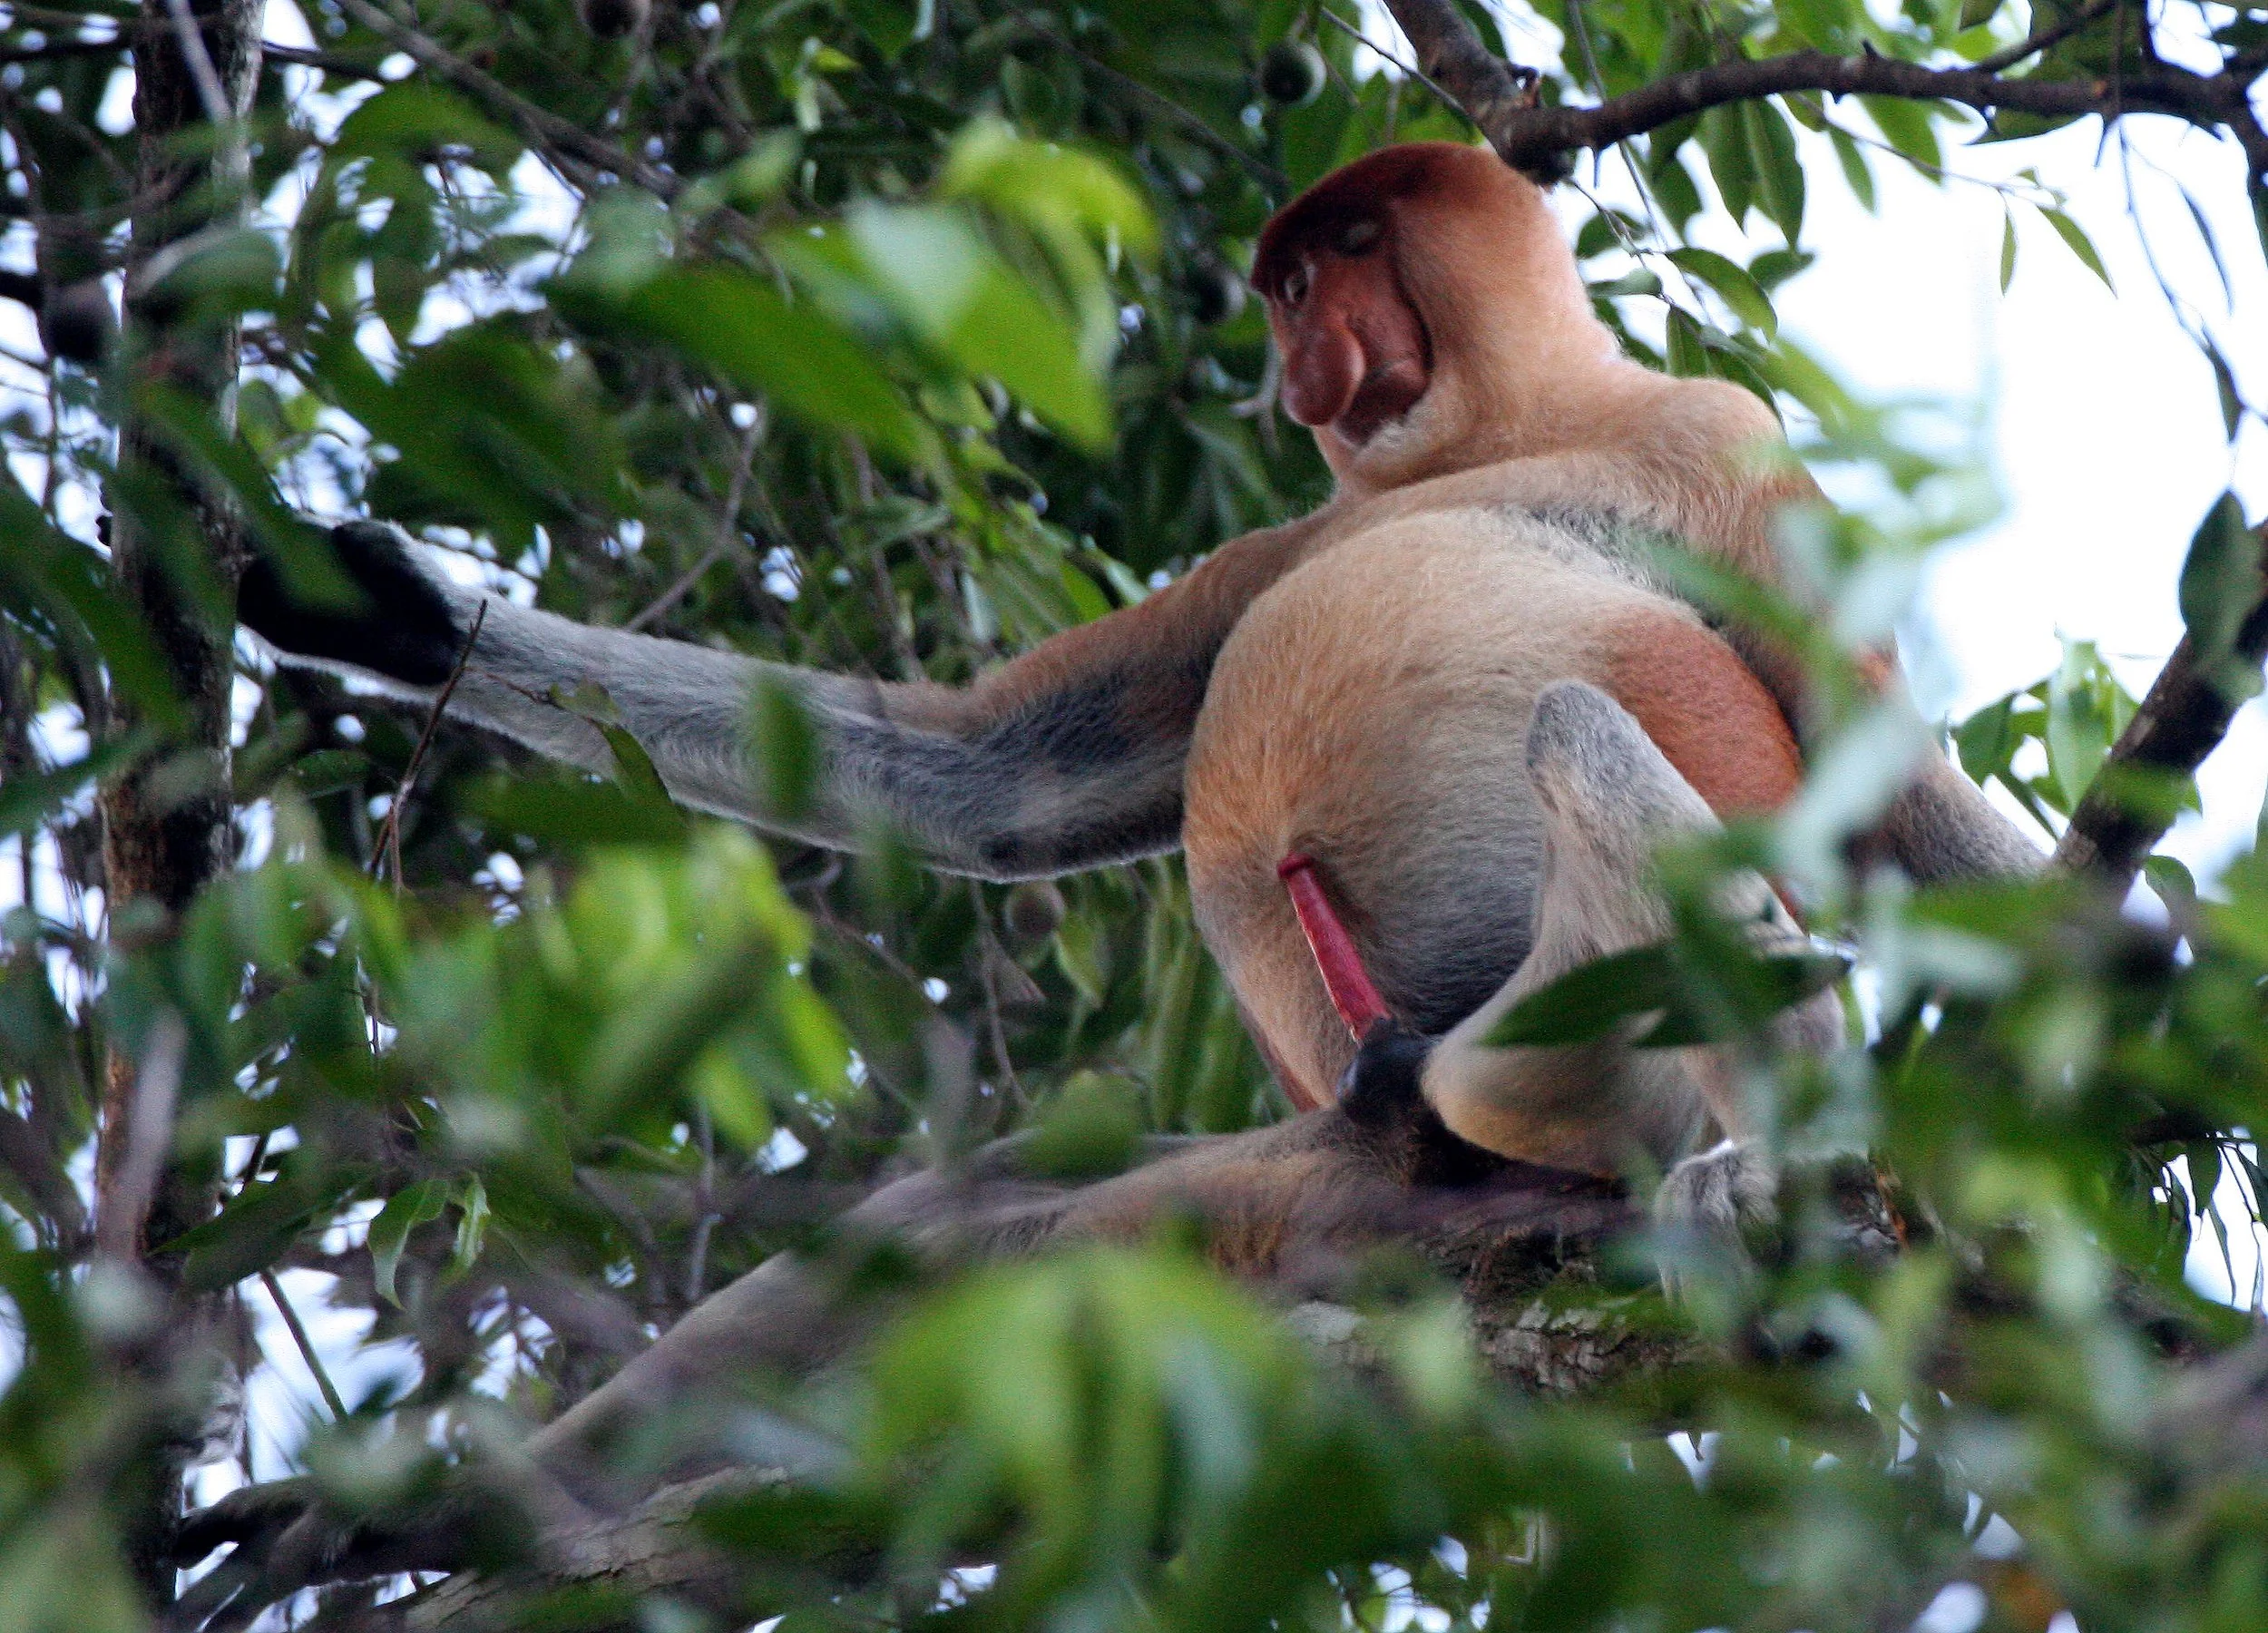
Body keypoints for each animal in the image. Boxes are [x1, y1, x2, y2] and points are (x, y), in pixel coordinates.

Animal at [238, 141, 2038, 1237]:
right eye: (1290, 281)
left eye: (1350, 250)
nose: (1304, 344)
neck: (1497, 437)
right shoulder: (1280, 549)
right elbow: (1003, 780)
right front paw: (383, 609)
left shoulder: (1729, 448)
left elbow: (1879, 774)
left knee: (1582, 727)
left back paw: (1757, 1153)